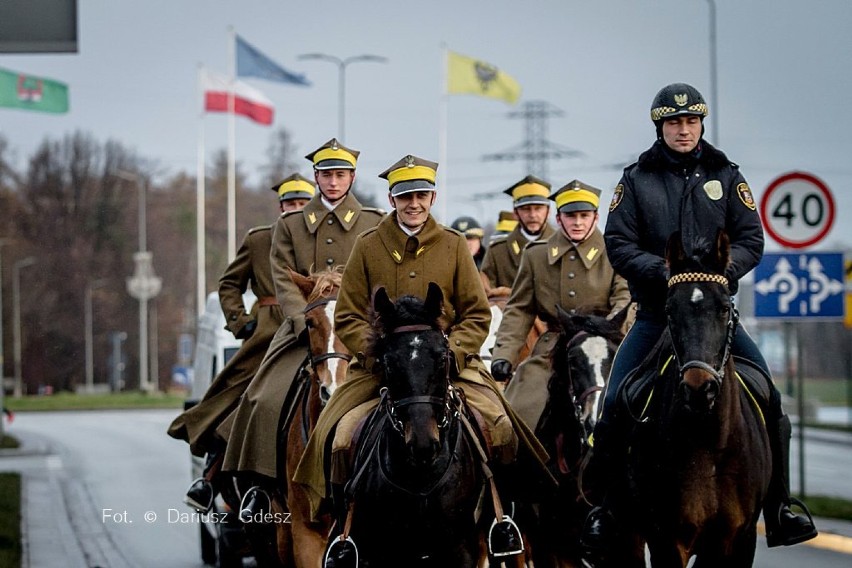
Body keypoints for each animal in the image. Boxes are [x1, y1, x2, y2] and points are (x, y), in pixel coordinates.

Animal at [328, 284, 486, 568]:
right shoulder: (381, 551)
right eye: (388, 363)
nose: (423, 444)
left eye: (443, 358)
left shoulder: (460, 548)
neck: (420, 476)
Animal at [608, 229, 768, 564]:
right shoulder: (666, 539)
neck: (707, 443)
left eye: (724, 308)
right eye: (670, 310)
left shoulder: (734, 539)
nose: (699, 388)